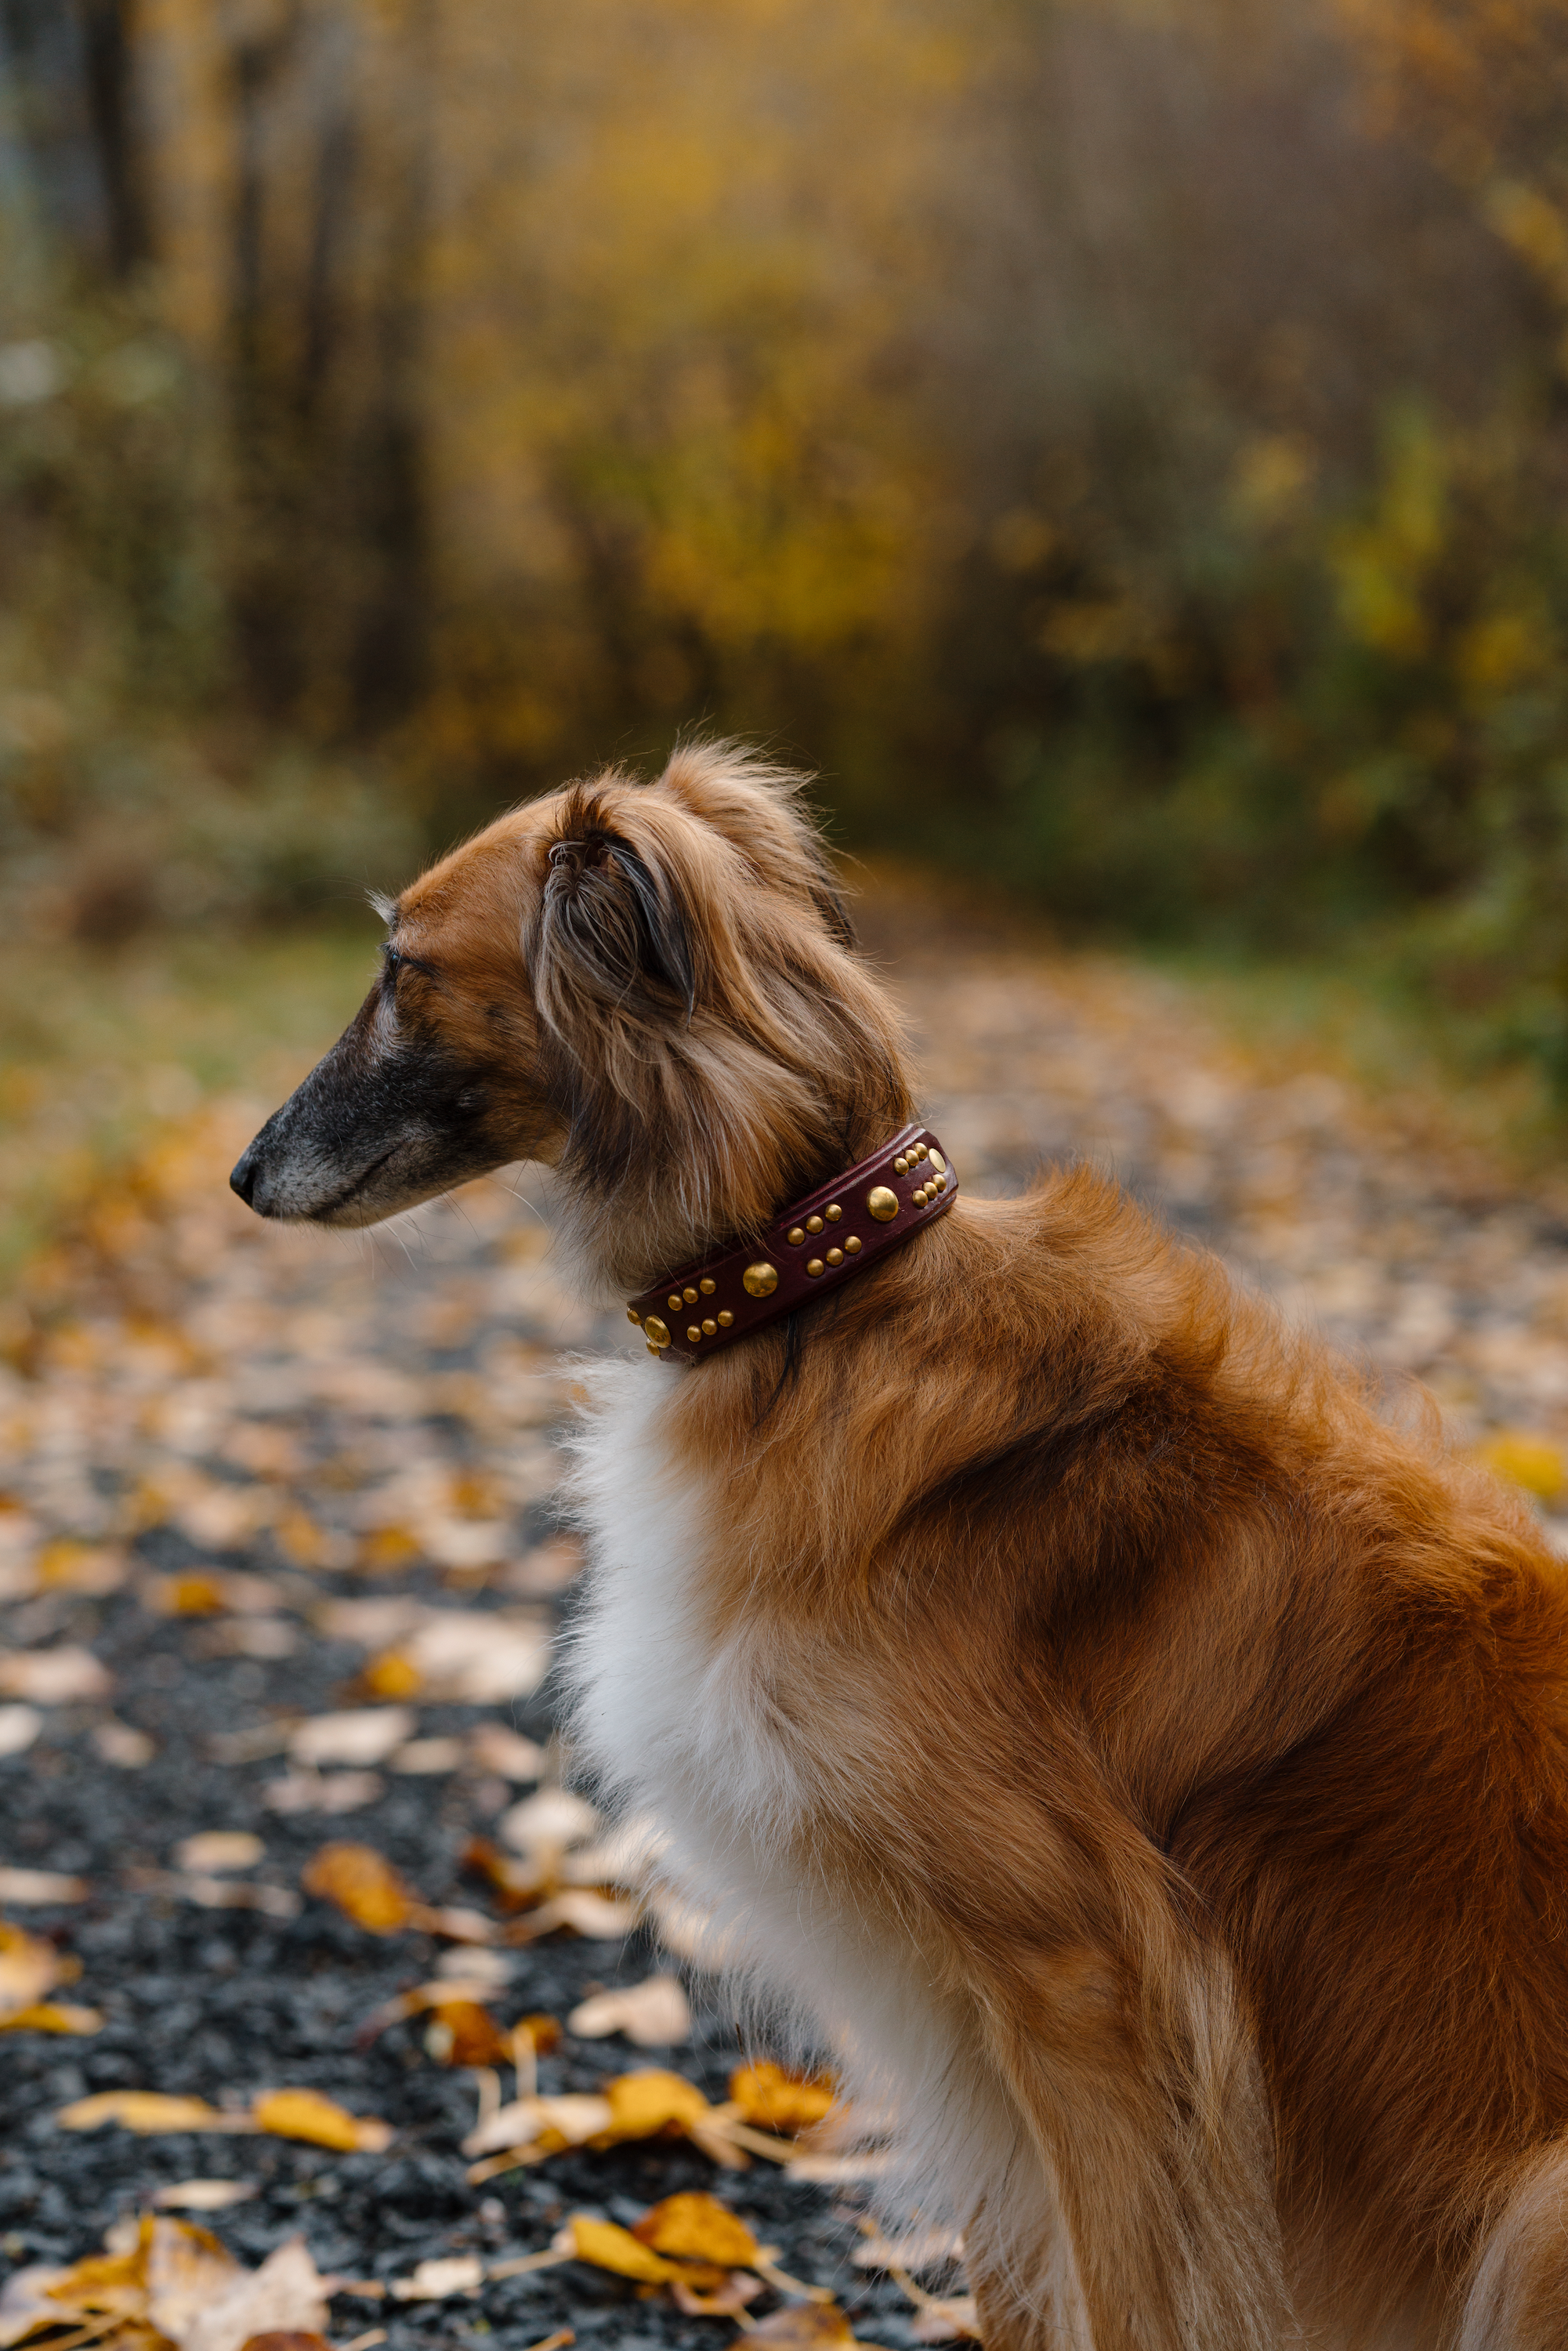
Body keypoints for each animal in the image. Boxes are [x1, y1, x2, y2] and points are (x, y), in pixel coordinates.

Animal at [230, 743, 1568, 2342]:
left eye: (401, 969)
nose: (242, 1175)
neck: (817, 1302)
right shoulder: (974, 2031)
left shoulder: (1089, 1996)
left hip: (1536, 2214)